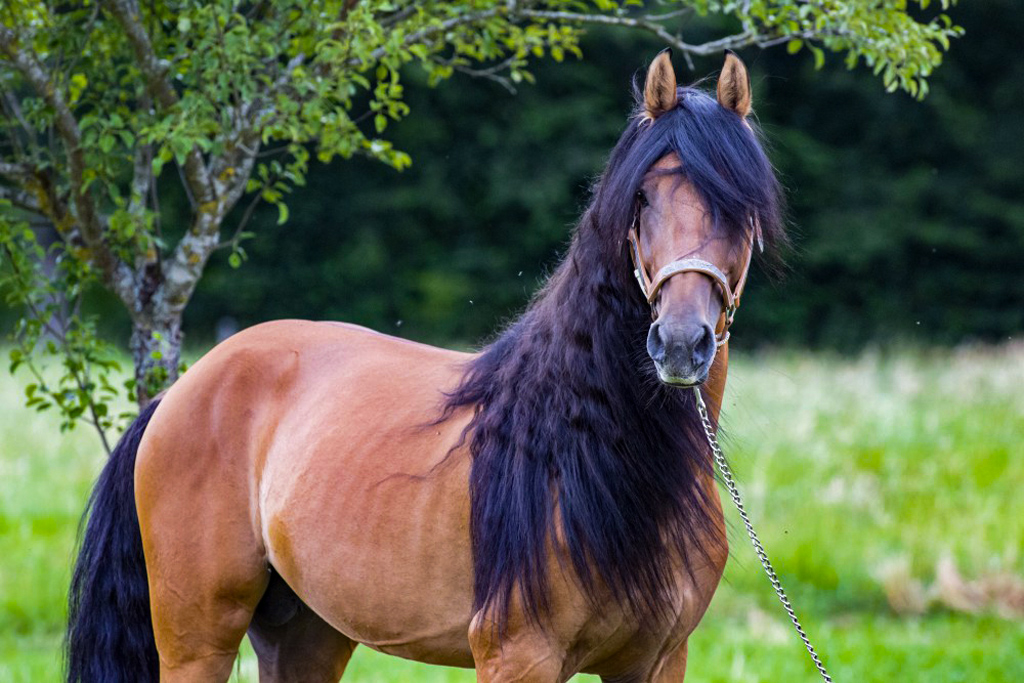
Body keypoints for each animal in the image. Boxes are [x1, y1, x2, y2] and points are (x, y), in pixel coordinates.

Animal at [66, 49, 782, 683]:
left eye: (739, 206)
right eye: (643, 199)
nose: (680, 344)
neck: (583, 453)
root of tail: (182, 390)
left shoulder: (656, 661)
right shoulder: (519, 657)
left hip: (306, 633)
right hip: (197, 640)